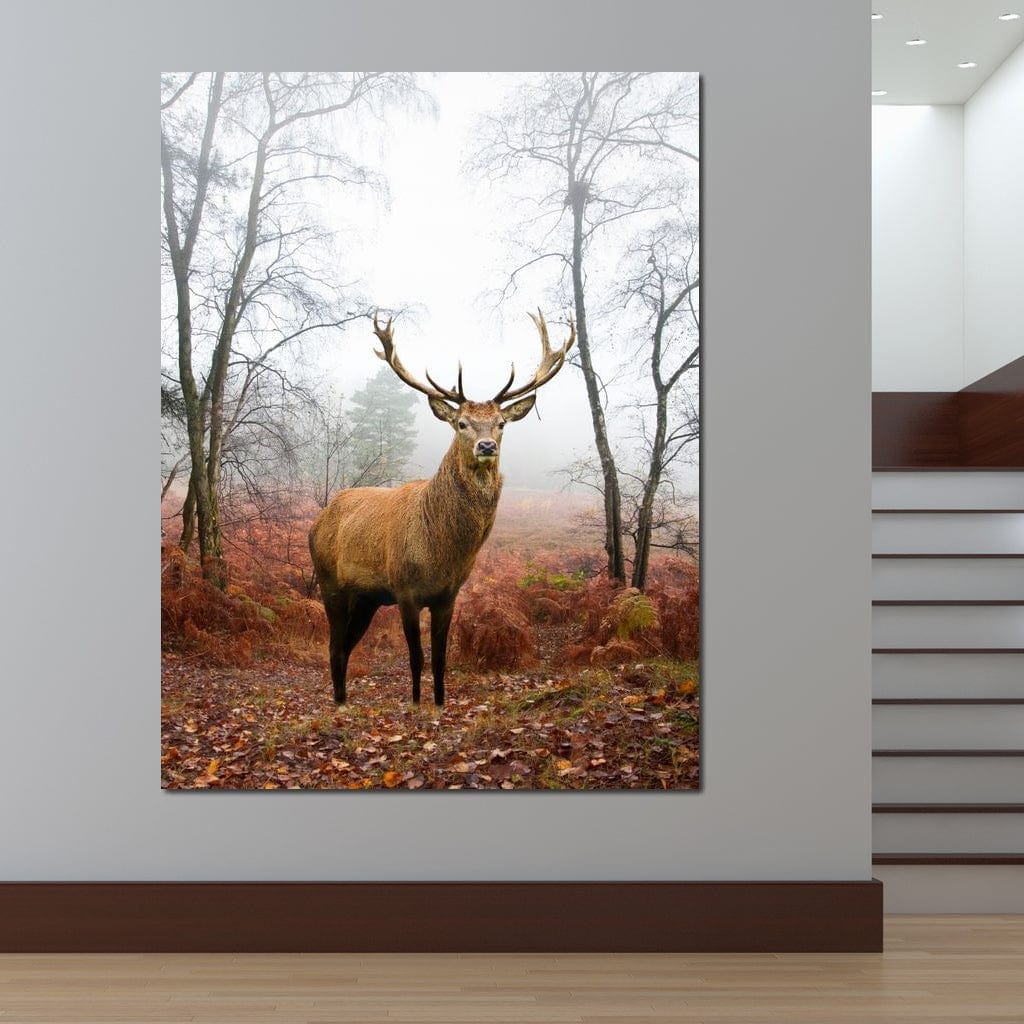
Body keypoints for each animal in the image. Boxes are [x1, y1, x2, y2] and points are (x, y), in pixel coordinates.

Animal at [309, 310, 575, 706]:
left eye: (500, 424)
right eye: (461, 423)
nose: (486, 446)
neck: (441, 550)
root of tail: (317, 521)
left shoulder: (448, 595)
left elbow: (440, 659)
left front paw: (438, 703)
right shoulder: (404, 590)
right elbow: (416, 658)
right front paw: (417, 703)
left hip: (367, 598)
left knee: (345, 645)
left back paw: (343, 700)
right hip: (330, 583)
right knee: (334, 645)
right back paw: (339, 704)